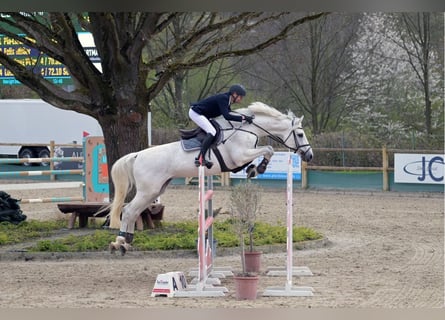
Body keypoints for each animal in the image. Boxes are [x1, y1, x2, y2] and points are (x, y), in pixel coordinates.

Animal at [106, 101, 312, 254]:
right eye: (300, 134)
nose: (309, 156)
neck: (247, 129)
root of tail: (137, 155)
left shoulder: (241, 158)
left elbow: (263, 153)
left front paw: (253, 169)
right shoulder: (240, 156)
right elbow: (268, 149)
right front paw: (258, 168)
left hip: (155, 191)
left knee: (133, 212)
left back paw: (125, 242)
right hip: (148, 191)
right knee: (129, 210)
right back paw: (120, 242)